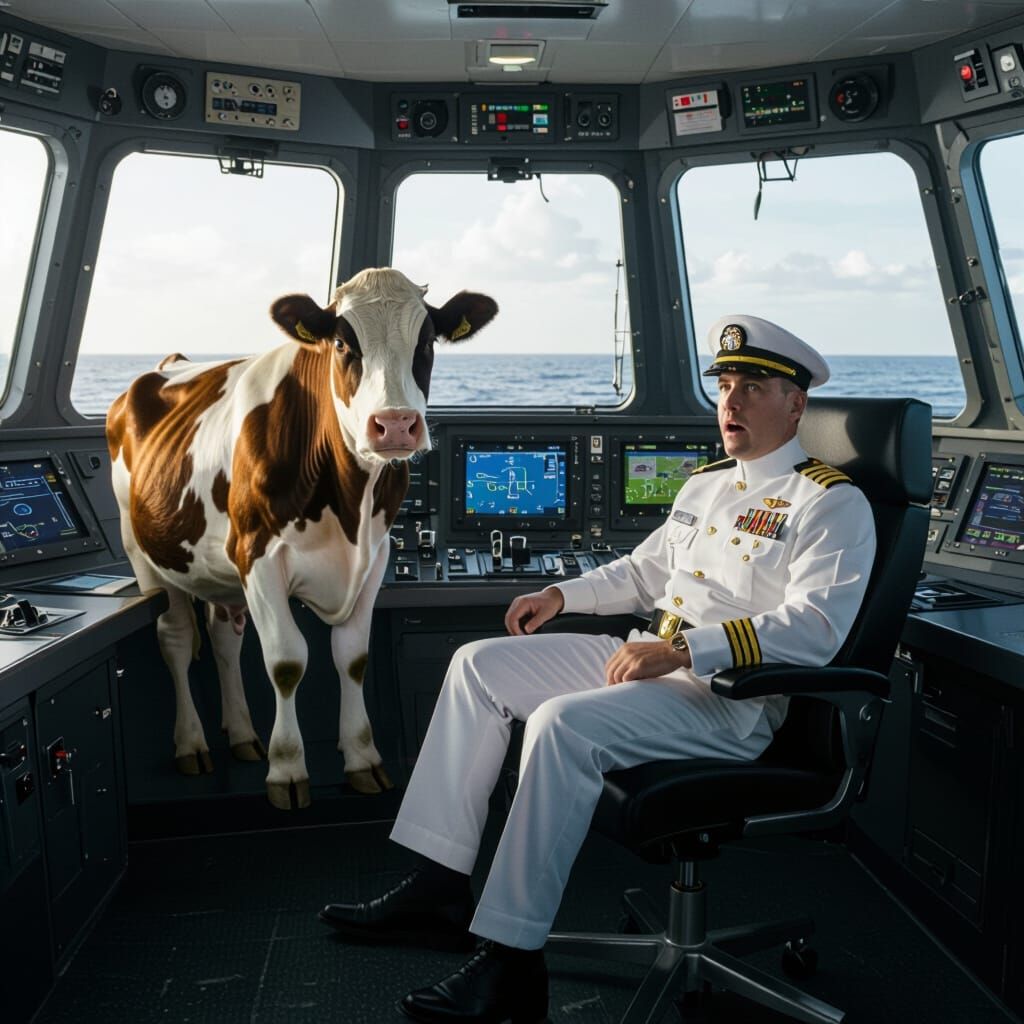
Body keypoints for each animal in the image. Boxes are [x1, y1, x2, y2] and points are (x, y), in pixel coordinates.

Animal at [107, 268, 498, 809]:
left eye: (426, 342)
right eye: (342, 343)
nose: (395, 424)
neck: (348, 501)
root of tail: (169, 365)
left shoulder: (374, 559)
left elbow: (352, 658)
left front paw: (362, 758)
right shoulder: (258, 558)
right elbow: (288, 661)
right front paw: (287, 769)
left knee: (225, 639)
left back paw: (243, 735)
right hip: (142, 550)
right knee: (177, 639)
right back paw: (191, 744)